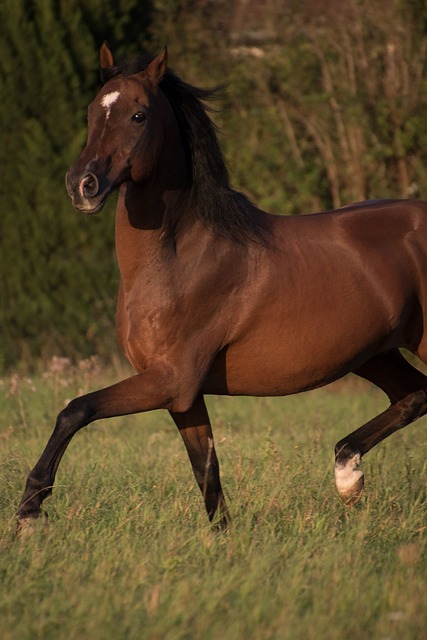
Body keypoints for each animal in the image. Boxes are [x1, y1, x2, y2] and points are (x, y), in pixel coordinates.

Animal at [15, 41, 427, 528]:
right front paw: (226, 539)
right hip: (374, 353)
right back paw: (348, 475)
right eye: (92, 112)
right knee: (414, 395)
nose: (82, 185)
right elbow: (207, 472)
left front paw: (30, 508)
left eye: (138, 115)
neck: (178, 259)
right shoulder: (183, 395)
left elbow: (75, 409)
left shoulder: (171, 379)